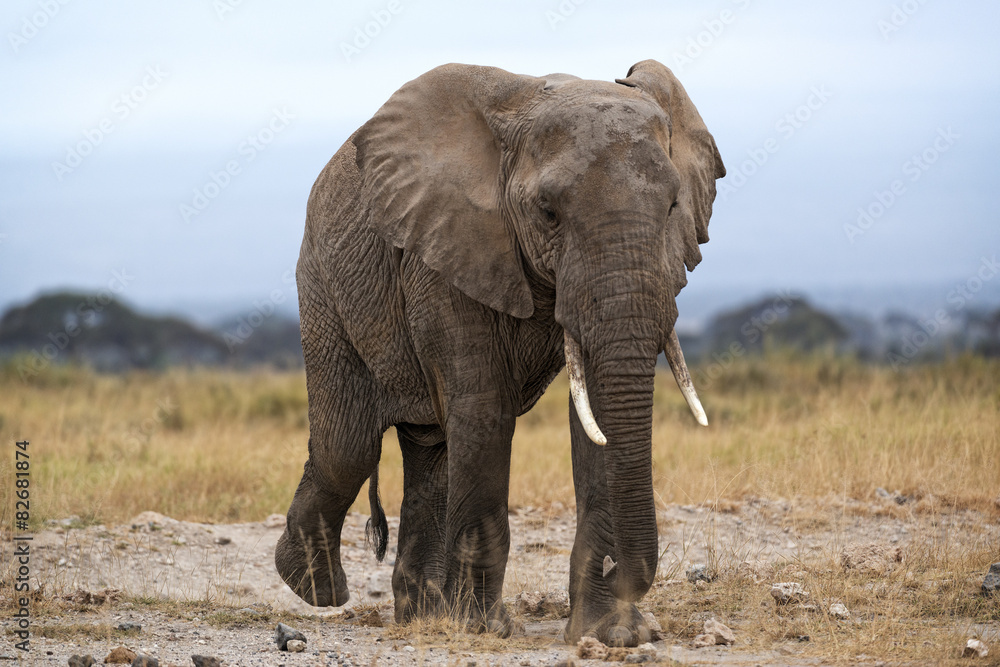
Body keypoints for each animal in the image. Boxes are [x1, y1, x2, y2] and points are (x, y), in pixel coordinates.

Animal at [275, 59, 726, 647]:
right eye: (548, 212)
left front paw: (613, 634)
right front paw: (483, 629)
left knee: (431, 451)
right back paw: (319, 589)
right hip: (323, 285)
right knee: (348, 446)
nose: (616, 571)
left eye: (673, 206)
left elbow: (595, 423)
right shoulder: (444, 249)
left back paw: (423, 614)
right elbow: (485, 412)